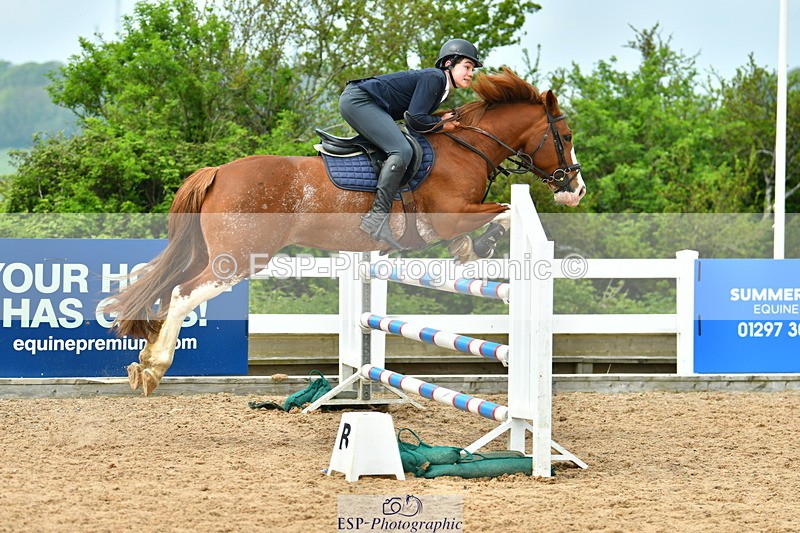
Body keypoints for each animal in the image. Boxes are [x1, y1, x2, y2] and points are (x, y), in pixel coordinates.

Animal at [107, 67, 586, 396]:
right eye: (564, 135)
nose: (575, 190)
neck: (467, 147)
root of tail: (219, 171)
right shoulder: (451, 214)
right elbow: (505, 212)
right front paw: (481, 247)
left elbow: (482, 228)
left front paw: (470, 252)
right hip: (237, 260)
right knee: (183, 293)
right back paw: (154, 367)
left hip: (214, 253)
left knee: (171, 288)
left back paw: (143, 361)